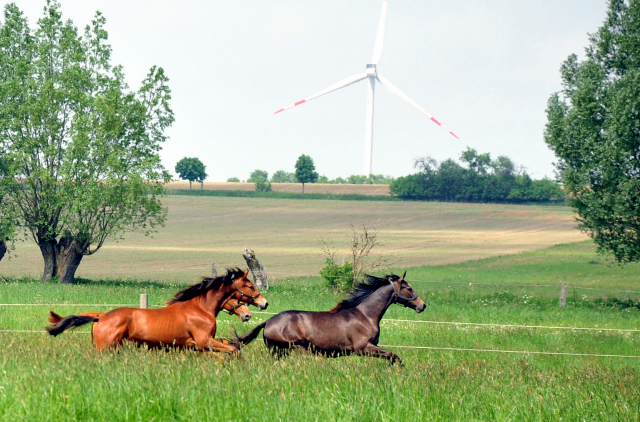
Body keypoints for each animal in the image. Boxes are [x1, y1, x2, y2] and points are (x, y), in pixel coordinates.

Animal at [47, 268, 266, 352]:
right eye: (250, 286)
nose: (264, 304)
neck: (200, 309)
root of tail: (101, 316)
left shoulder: (196, 345)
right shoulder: (204, 342)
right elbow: (232, 350)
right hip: (106, 347)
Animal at [235, 272, 424, 364]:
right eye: (409, 288)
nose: (422, 305)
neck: (366, 315)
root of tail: (268, 322)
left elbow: (392, 356)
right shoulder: (363, 348)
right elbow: (393, 355)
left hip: (278, 352)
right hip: (296, 349)